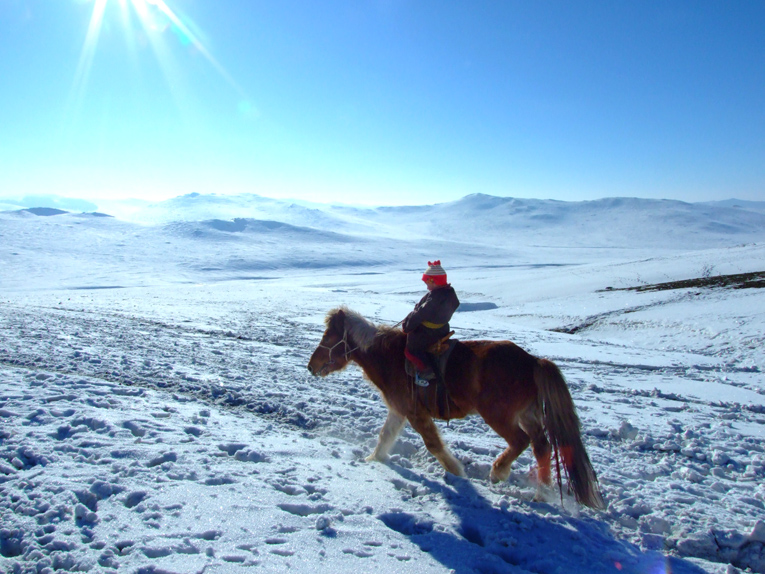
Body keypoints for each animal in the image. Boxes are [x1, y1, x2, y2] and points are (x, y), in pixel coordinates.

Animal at [306, 308, 604, 510]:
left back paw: (499, 472)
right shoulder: (399, 411)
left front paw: (457, 471)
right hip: (527, 414)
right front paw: (373, 460)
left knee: (521, 441)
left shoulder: (416, 414)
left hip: (498, 415)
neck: (390, 358)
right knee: (541, 445)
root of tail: (532, 361)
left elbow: (433, 445)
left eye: (328, 337)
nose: (311, 366)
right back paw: (542, 493)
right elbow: (385, 436)